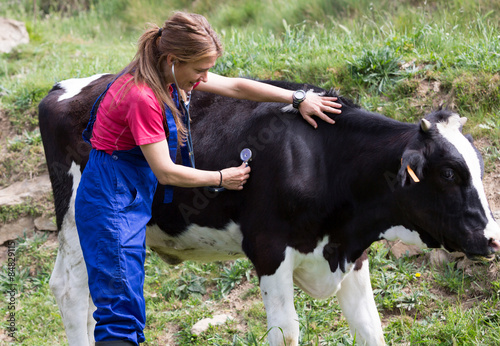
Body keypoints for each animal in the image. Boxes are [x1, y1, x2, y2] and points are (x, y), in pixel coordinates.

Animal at [38, 73, 500, 346]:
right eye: (448, 174)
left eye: (477, 168)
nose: (493, 239)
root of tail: (63, 88)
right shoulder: (269, 250)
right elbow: (287, 334)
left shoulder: (351, 254)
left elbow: (370, 328)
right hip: (79, 217)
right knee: (70, 291)